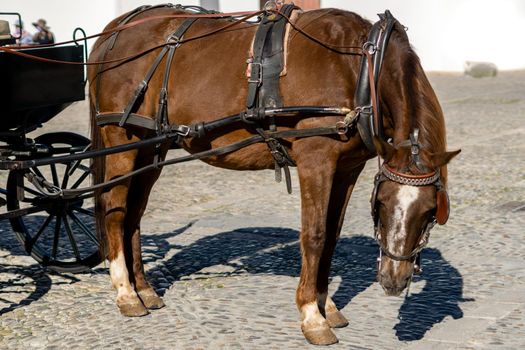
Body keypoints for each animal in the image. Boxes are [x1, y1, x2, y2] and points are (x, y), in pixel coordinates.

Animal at [89, 4, 458, 344]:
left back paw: (144, 289)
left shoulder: (348, 168)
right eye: (381, 205)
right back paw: (126, 293)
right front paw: (312, 316)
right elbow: (315, 235)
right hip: (122, 140)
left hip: (153, 146)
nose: (394, 281)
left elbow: (332, 235)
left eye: (430, 212)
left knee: (134, 214)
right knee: (114, 210)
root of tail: (114, 29)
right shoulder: (316, 159)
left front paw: (327, 306)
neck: (362, 67)